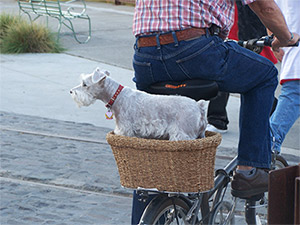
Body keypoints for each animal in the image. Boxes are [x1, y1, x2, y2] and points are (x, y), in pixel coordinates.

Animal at [70, 67, 207, 141]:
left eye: (85, 84)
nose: (71, 91)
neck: (116, 95)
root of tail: (198, 106)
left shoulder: (125, 131)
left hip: (182, 135)